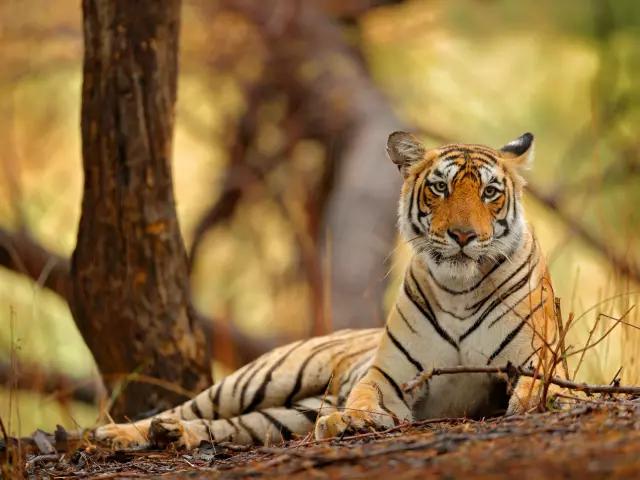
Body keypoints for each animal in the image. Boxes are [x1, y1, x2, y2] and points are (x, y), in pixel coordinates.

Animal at [95, 131, 558, 450]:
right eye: (440, 187)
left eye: (490, 192)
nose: (462, 235)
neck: (458, 289)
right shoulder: (391, 375)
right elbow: (365, 397)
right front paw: (349, 420)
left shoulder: (537, 359)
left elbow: (539, 387)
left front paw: (541, 404)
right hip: (258, 378)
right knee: (190, 407)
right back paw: (117, 433)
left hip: (283, 417)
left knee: (226, 426)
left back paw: (172, 435)